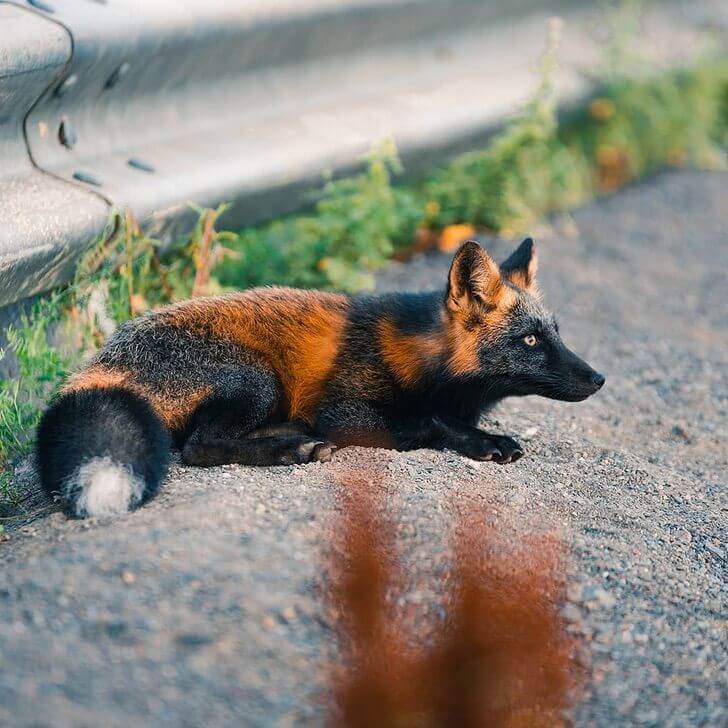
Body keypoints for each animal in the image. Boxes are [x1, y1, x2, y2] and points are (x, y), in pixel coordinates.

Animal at [35, 239, 604, 516]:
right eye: (530, 341)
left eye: (555, 333)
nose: (598, 378)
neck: (419, 358)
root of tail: (103, 361)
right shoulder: (344, 412)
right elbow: (425, 425)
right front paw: (485, 442)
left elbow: (434, 419)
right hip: (260, 381)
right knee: (196, 447)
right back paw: (291, 447)